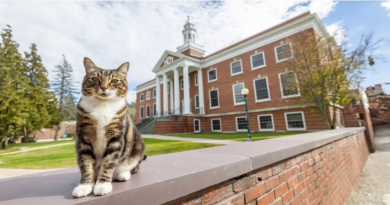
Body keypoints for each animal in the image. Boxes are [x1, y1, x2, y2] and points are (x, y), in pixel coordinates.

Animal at [72, 57, 145, 197]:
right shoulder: (84, 138)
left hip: (137, 146)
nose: (104, 87)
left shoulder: (116, 137)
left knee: (133, 166)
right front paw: (84, 186)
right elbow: (86, 163)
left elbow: (109, 162)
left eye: (114, 80)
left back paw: (123, 174)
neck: (102, 105)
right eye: (95, 79)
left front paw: (102, 185)